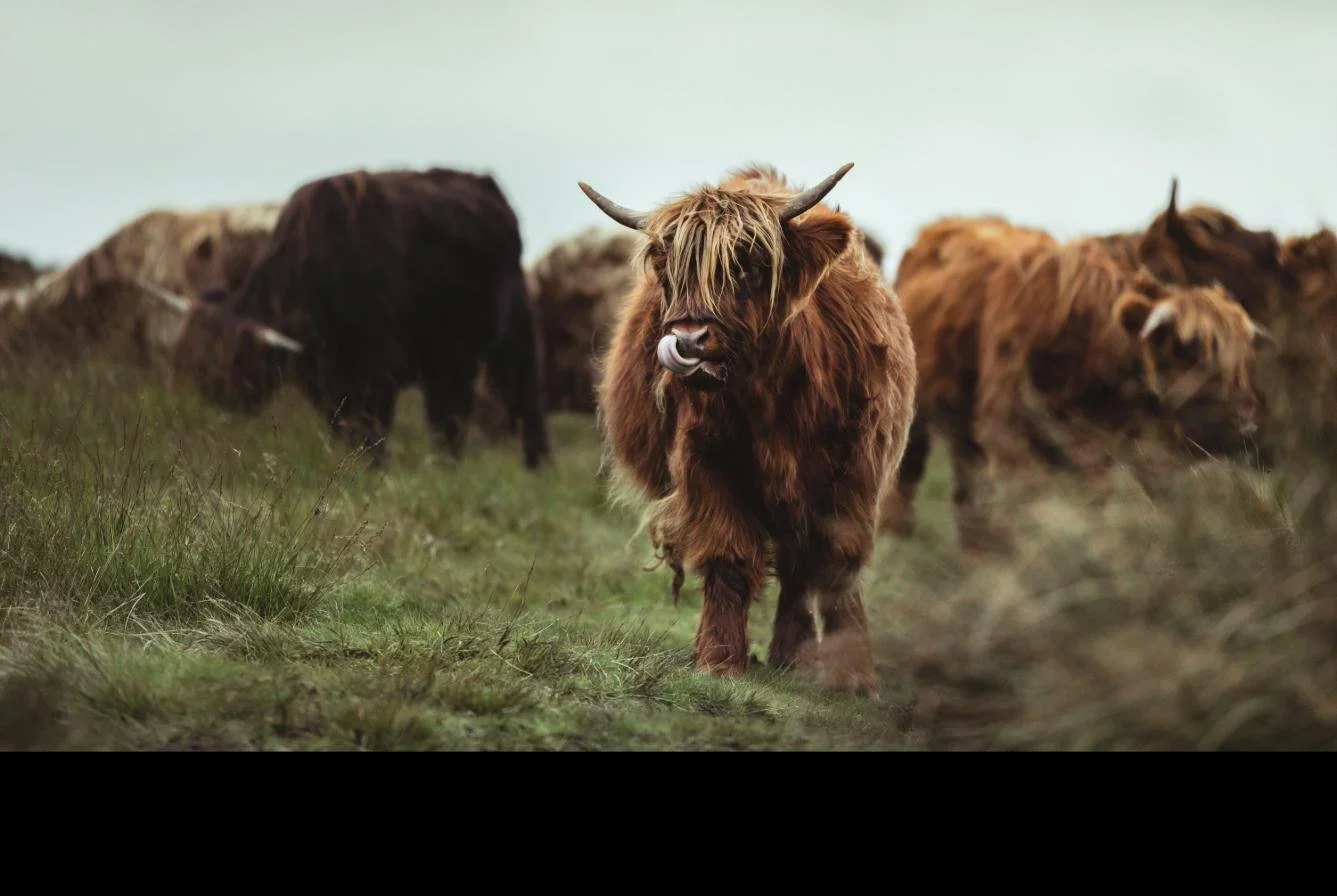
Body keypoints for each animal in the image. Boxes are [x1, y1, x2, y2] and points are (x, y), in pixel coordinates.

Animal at [140, 167, 550, 471]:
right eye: (180, 357)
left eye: (221, 365)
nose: (185, 411)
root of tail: (484, 184)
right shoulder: (323, 374)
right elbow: (341, 422)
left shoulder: (375, 365)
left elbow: (372, 424)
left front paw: (374, 470)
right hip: (446, 354)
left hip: (509, 332)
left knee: (517, 397)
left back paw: (532, 467)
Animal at [582, 163, 917, 698]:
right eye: (670, 270)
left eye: (748, 264)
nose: (689, 339)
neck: (772, 396)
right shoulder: (706, 464)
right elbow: (729, 557)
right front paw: (718, 659)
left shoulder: (855, 469)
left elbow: (838, 562)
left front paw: (855, 676)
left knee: (801, 565)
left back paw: (794, 657)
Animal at [879, 215, 1277, 553]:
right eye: (1189, 352)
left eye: (1243, 362)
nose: (1246, 425)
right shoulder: (1007, 429)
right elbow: (1033, 501)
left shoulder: (1115, 443)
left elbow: (1100, 498)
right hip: (914, 414)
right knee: (907, 475)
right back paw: (899, 542)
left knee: (968, 483)